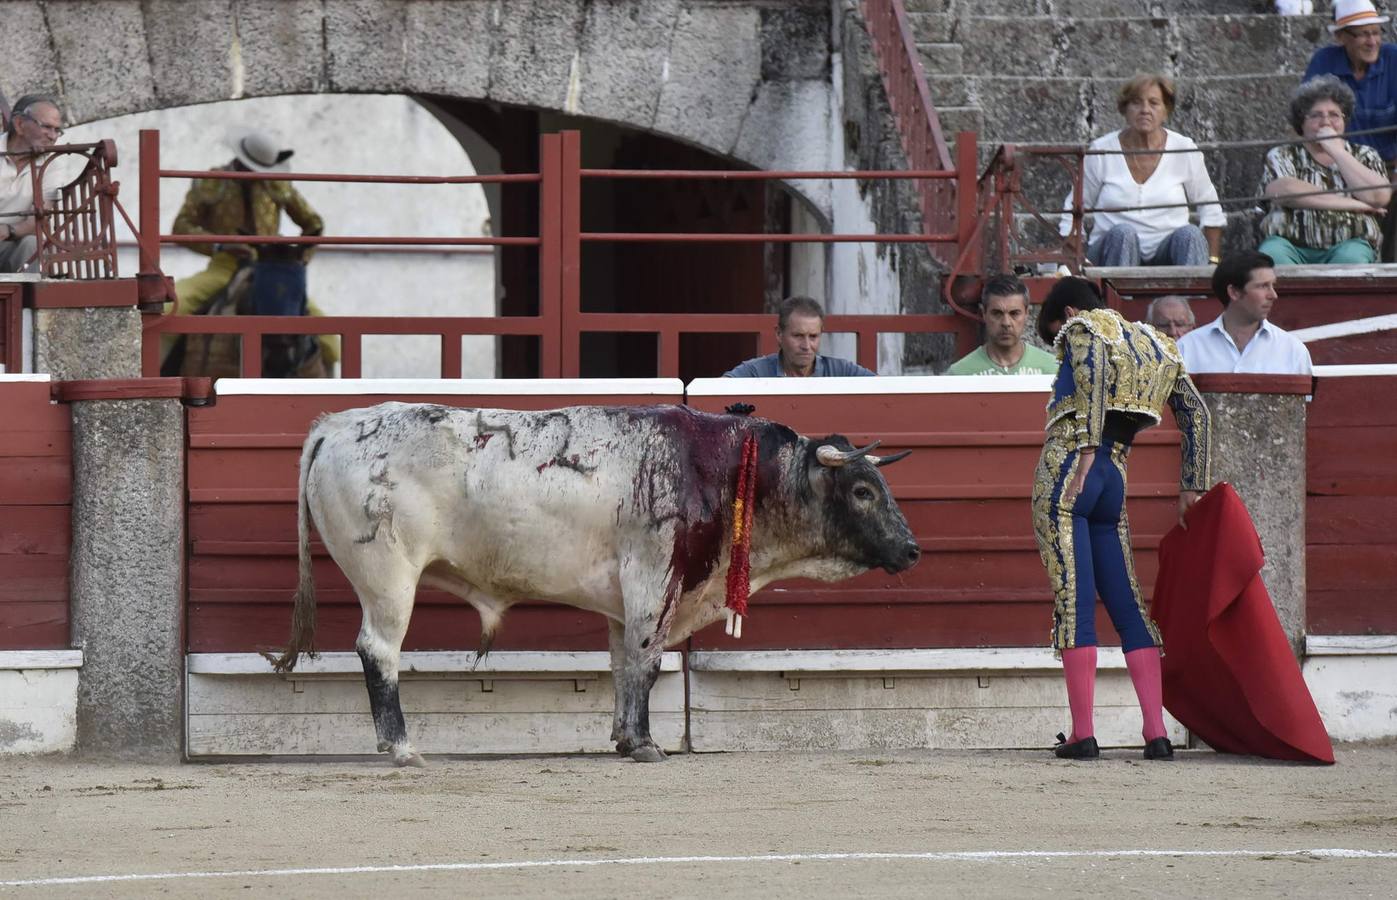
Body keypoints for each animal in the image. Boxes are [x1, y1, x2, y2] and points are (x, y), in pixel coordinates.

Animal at [273, 405, 922, 760]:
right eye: (862, 491)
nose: (912, 549)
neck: (722, 471)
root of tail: (336, 425)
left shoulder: (623, 601)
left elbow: (622, 666)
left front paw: (623, 738)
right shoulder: (654, 580)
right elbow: (648, 664)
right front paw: (646, 745)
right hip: (388, 577)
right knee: (379, 651)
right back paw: (403, 748)